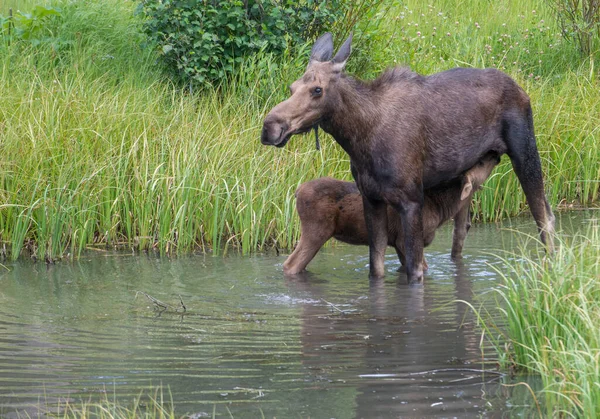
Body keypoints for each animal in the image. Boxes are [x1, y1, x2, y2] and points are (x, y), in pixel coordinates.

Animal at [284, 154, 500, 276]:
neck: (441, 210)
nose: (495, 155)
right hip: (316, 229)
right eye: (480, 162)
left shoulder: (397, 242)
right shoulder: (406, 239)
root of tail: (297, 192)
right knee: (290, 264)